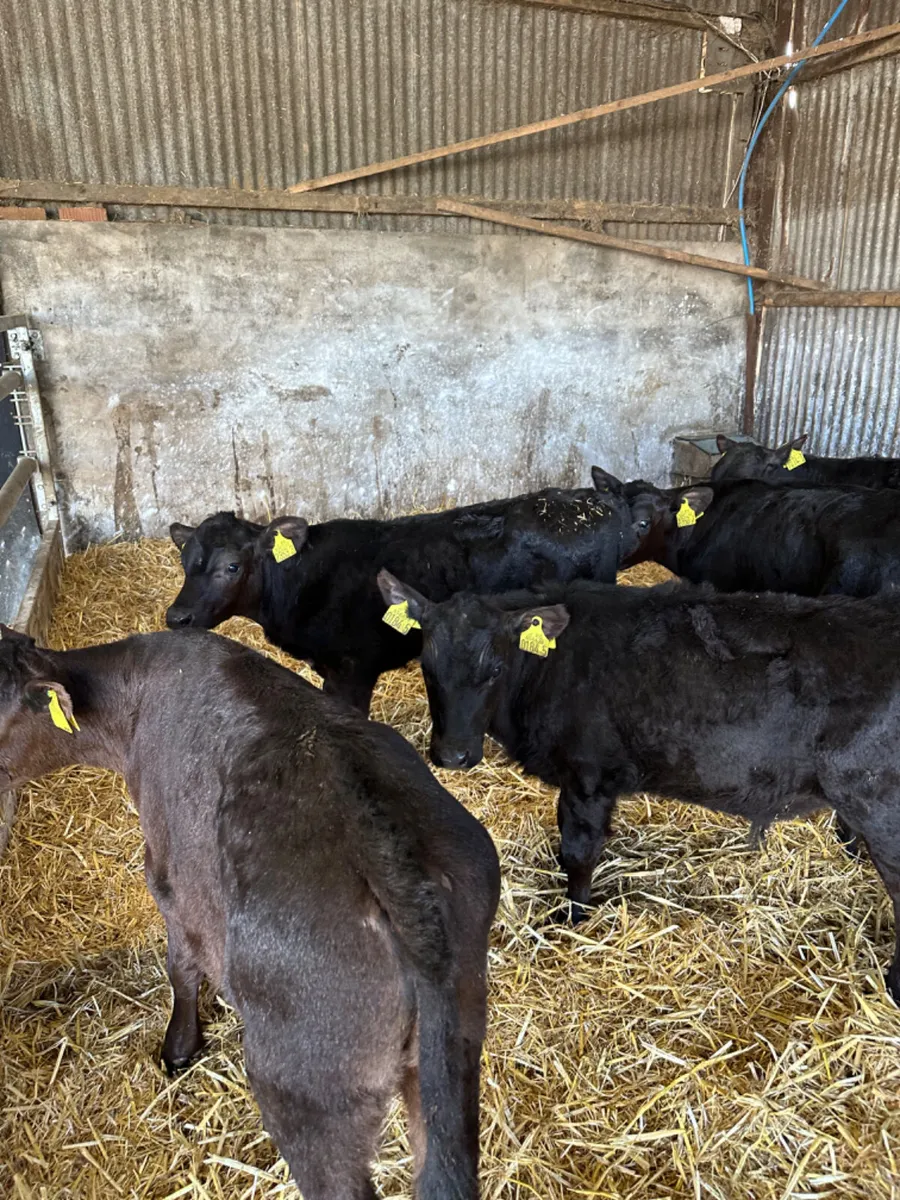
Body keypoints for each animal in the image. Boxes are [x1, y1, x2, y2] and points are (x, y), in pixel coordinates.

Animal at [0, 624, 500, 1199]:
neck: (133, 703)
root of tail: (396, 868)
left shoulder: (169, 878)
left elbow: (182, 968)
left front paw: (179, 1047)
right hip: (453, 1059)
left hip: (308, 1088)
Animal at [375, 573, 900, 1006]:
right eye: (426, 667)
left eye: (496, 670)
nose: (452, 755)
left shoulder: (586, 775)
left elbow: (578, 851)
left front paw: (571, 919)